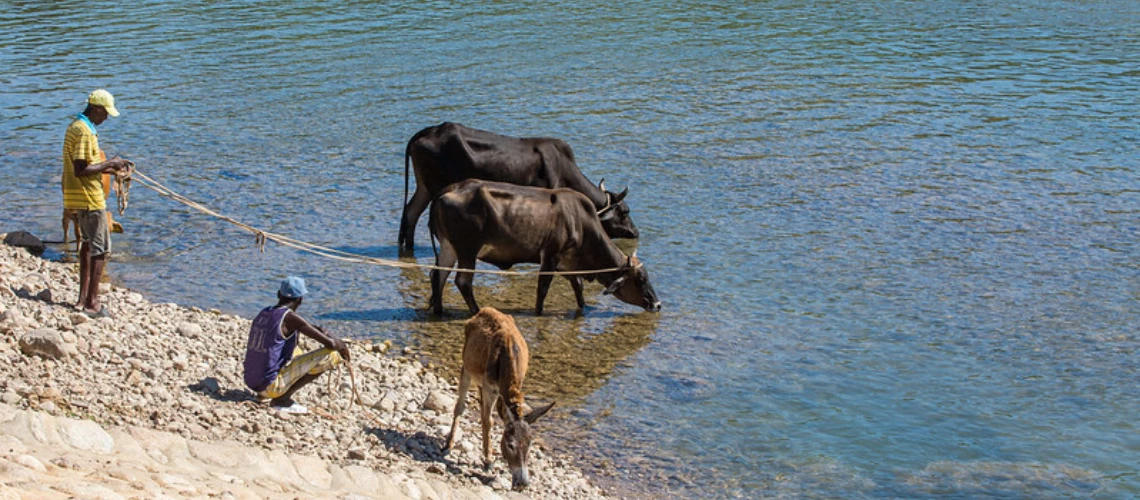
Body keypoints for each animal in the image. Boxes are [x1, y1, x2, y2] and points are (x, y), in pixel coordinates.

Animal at [399, 121, 642, 253]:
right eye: (625, 212)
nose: (636, 232)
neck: (563, 168)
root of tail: (427, 132)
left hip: (424, 186)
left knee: (410, 213)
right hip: (435, 186)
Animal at [428, 177, 661, 314]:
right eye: (640, 279)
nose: (657, 304)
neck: (581, 221)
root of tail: (449, 189)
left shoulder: (568, 263)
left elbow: (578, 286)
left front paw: (584, 307)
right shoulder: (550, 256)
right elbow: (543, 288)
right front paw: (538, 312)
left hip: (449, 248)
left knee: (438, 274)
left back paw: (438, 309)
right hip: (467, 250)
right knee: (462, 281)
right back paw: (476, 311)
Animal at [442, 307, 554, 492]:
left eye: (530, 444)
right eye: (510, 444)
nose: (522, 484)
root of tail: (484, 309)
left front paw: (489, 455)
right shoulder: (489, 387)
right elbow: (488, 421)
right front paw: (488, 461)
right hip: (467, 368)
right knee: (460, 406)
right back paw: (448, 445)